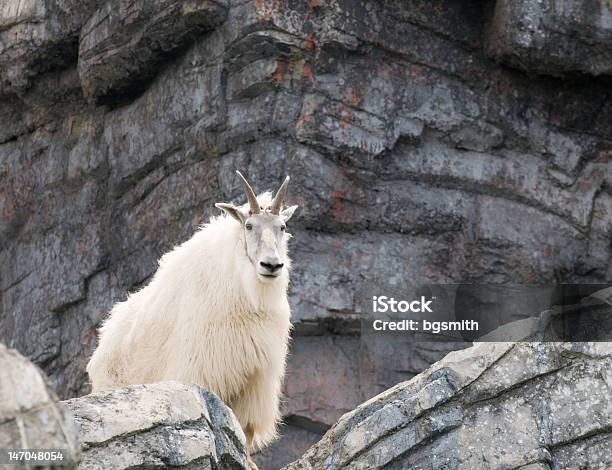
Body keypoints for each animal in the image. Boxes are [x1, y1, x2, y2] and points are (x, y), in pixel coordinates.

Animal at [88, 171, 298, 460]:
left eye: (283, 227)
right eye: (248, 226)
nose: (271, 265)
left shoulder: (255, 381)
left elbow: (245, 432)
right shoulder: (202, 368)